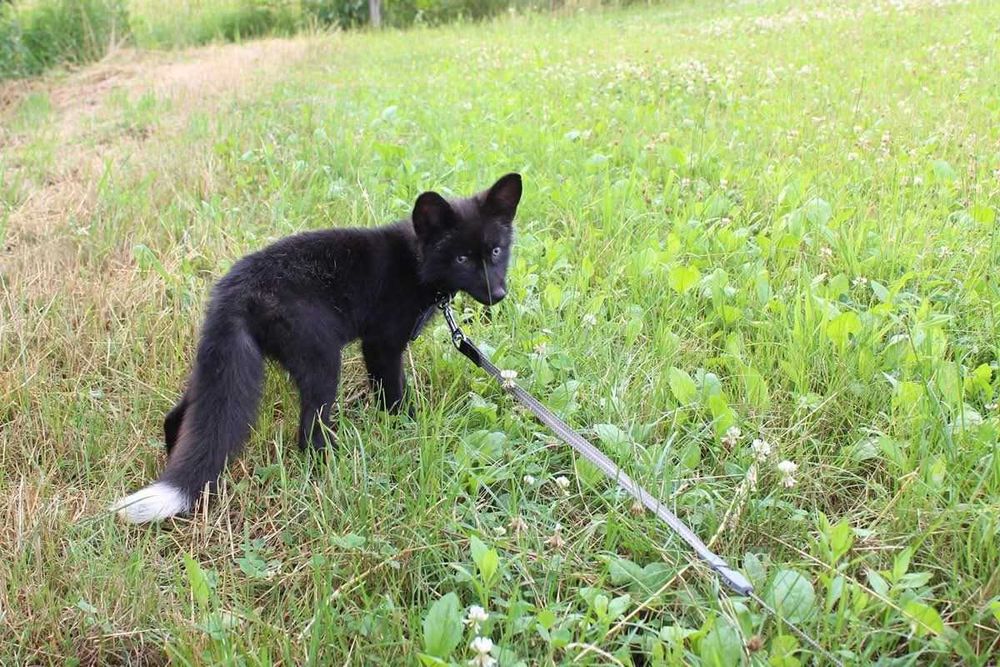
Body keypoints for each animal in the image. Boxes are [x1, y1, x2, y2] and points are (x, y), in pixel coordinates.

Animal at [112, 173, 522, 523]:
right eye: (461, 258)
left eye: (496, 251)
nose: (499, 295)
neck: (416, 262)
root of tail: (233, 290)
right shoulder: (381, 345)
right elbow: (393, 395)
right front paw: (408, 427)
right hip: (320, 360)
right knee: (308, 436)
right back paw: (330, 471)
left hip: (228, 362)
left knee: (182, 415)